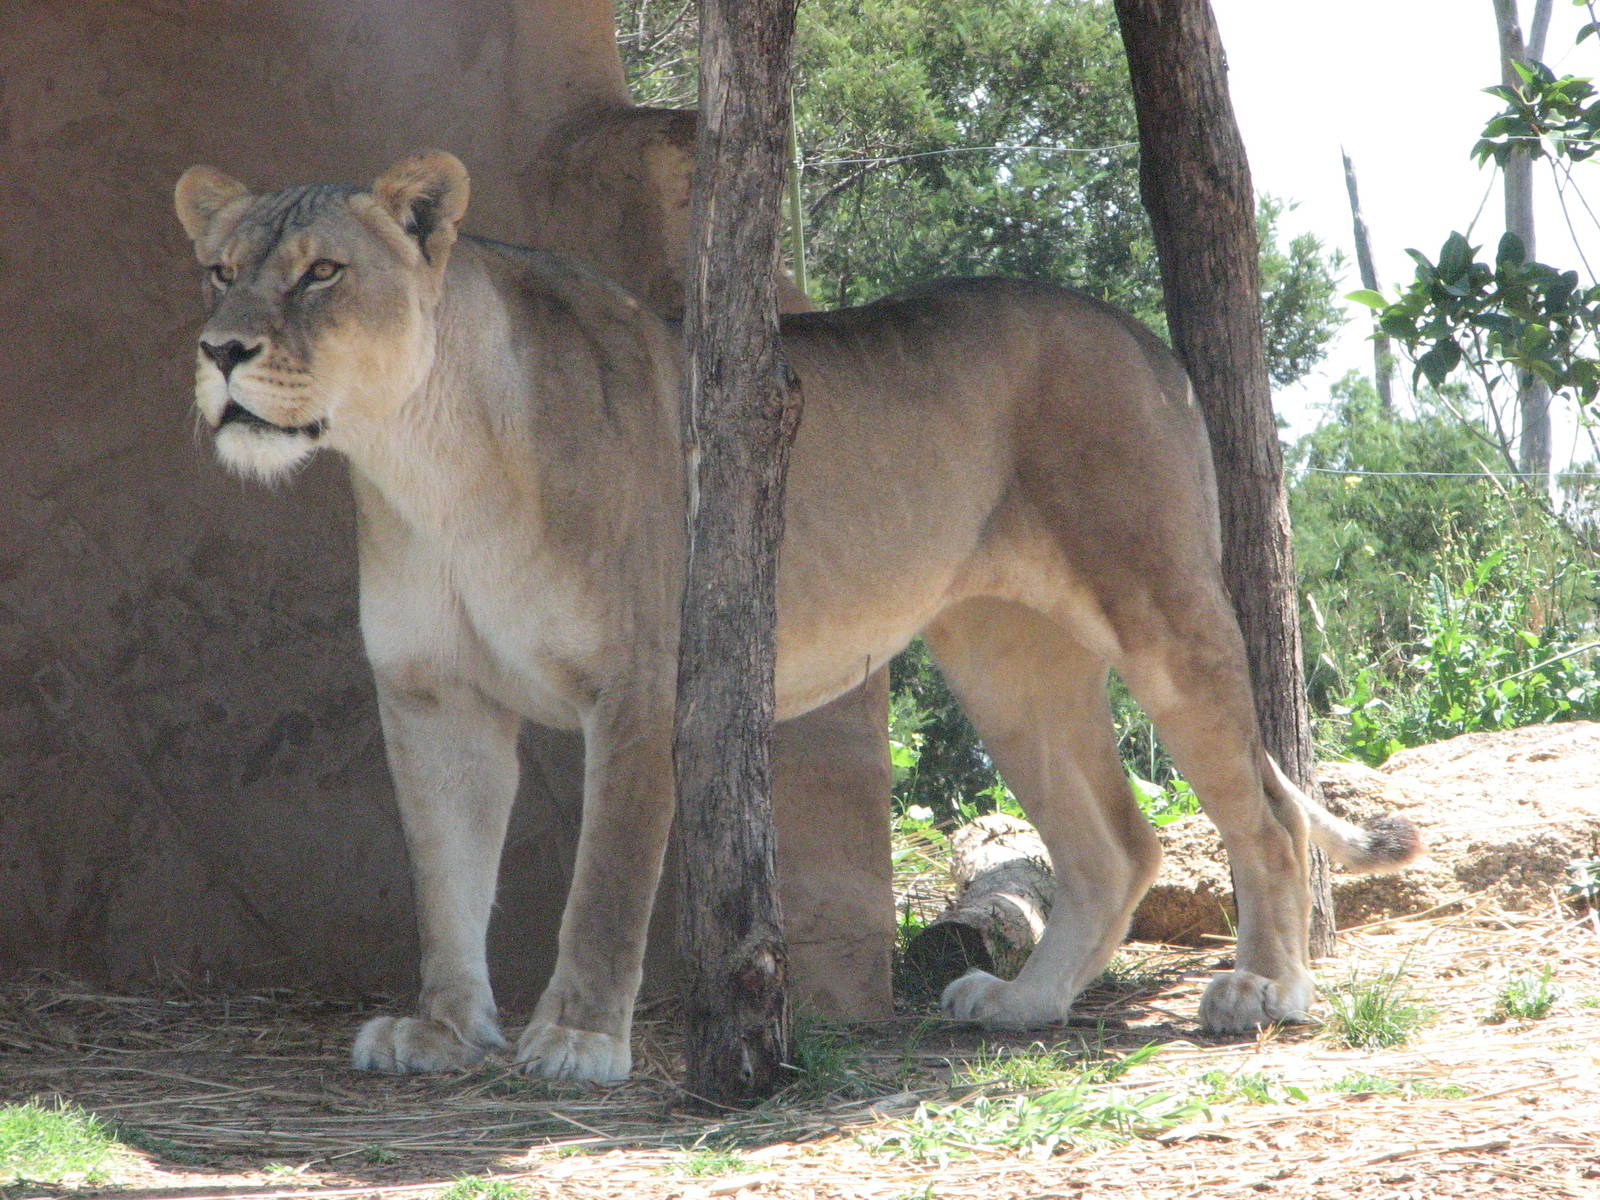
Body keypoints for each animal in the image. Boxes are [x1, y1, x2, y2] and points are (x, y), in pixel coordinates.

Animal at [173, 151, 1420, 1084]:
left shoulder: (643, 683)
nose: (219, 350)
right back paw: (1024, 1004)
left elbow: (605, 887)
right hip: (1006, 663)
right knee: (1117, 841)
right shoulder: (434, 698)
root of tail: (1144, 337)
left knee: (1266, 811)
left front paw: (575, 1039)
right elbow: (444, 880)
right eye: (219, 270)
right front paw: (436, 1030)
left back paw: (1264, 987)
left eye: (321, 272)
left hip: (1159, 604)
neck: (417, 462)